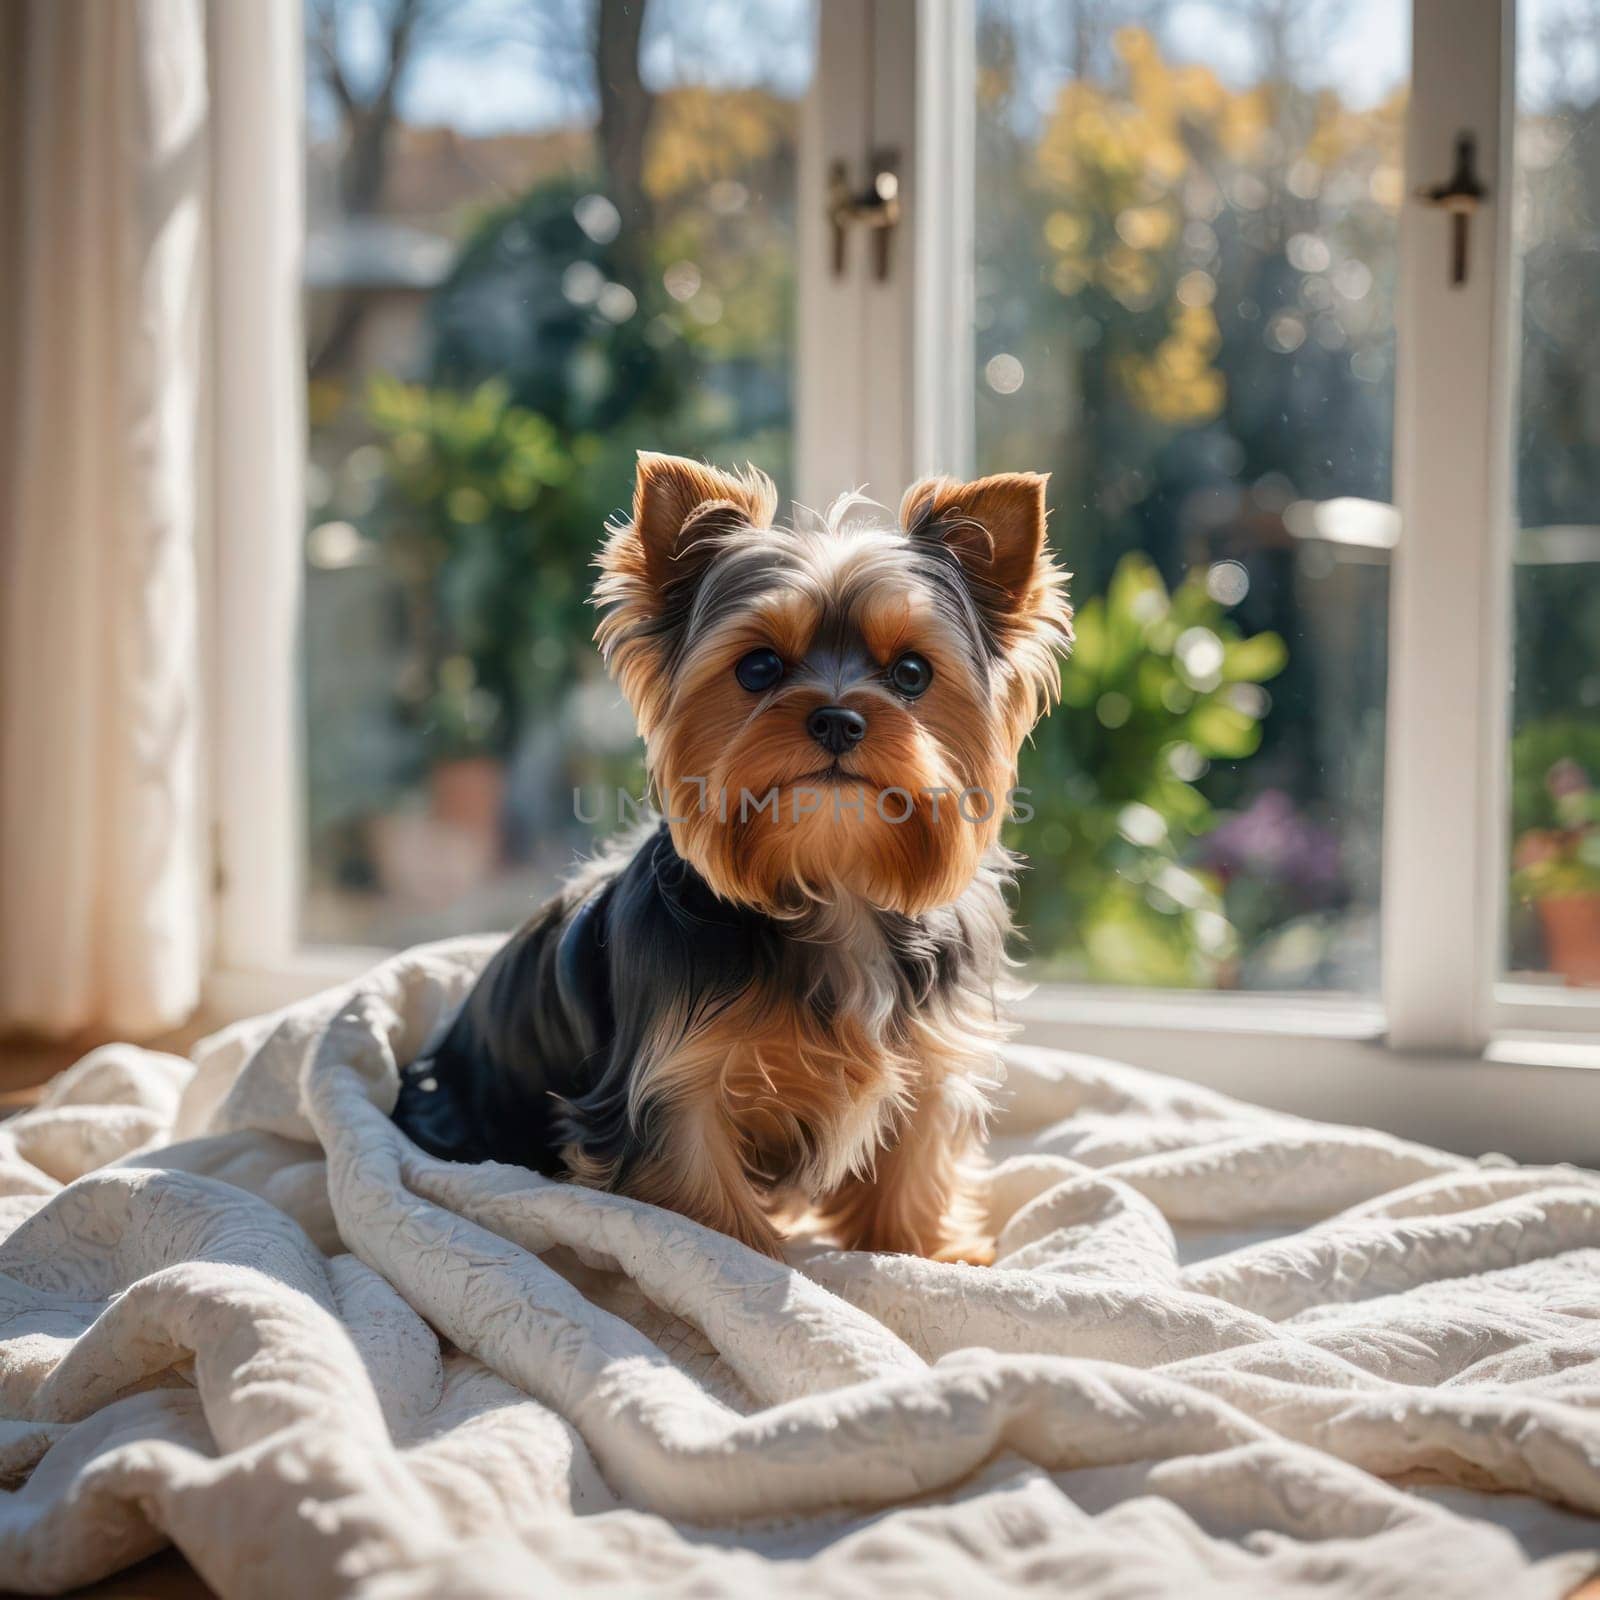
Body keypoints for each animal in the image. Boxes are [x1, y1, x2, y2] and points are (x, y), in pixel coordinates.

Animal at [395, 454, 1075, 1260]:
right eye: (758, 667)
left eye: (912, 673)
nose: (838, 718)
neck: (832, 879)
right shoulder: (673, 1085)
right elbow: (705, 1208)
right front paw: (742, 1262)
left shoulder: (929, 1057)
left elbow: (914, 1167)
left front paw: (926, 1254)